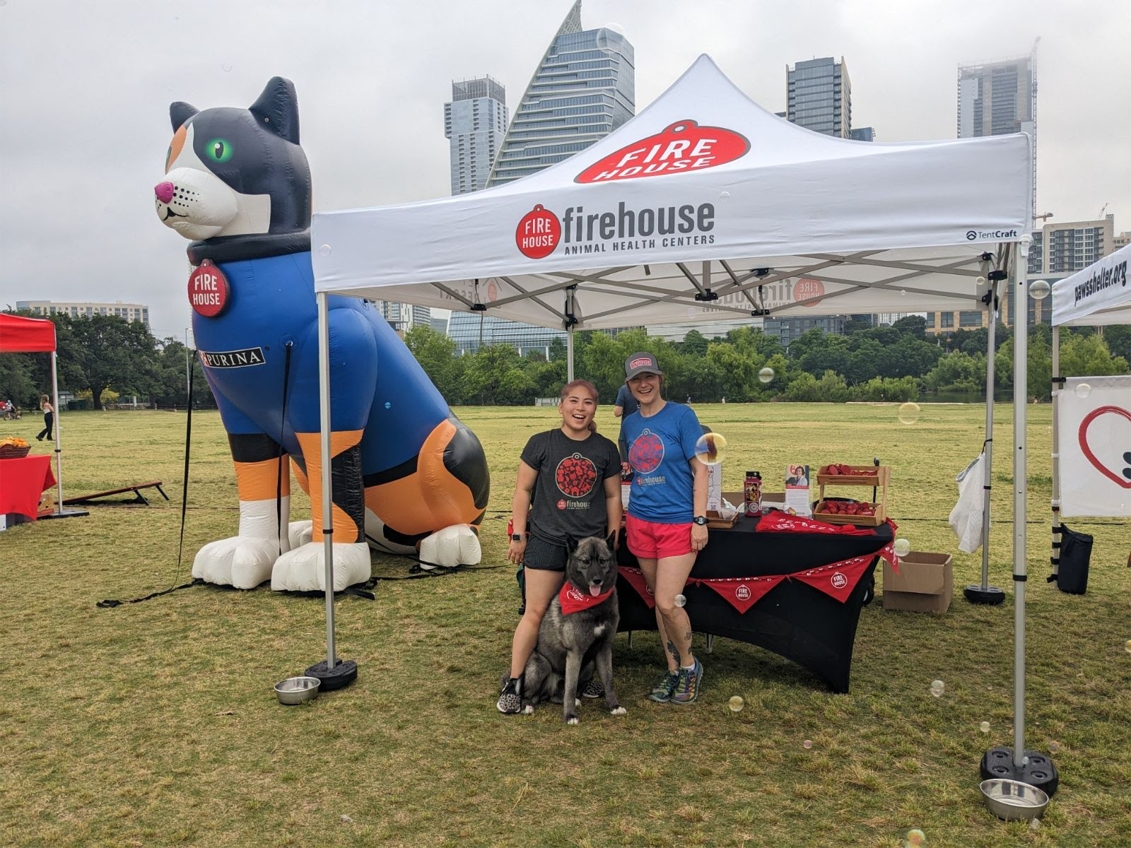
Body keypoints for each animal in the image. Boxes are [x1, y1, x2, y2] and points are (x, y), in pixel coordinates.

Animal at [517, 538, 624, 723]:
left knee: (556, 696)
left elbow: (609, 681)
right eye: (585, 561)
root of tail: (546, 693)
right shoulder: (575, 653)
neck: (592, 605)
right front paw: (570, 716)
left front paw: (614, 706)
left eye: (602, 561)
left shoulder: (603, 648)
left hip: (589, 665)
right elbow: (571, 688)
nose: (597, 580)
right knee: (529, 694)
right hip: (541, 665)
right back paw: (527, 705)